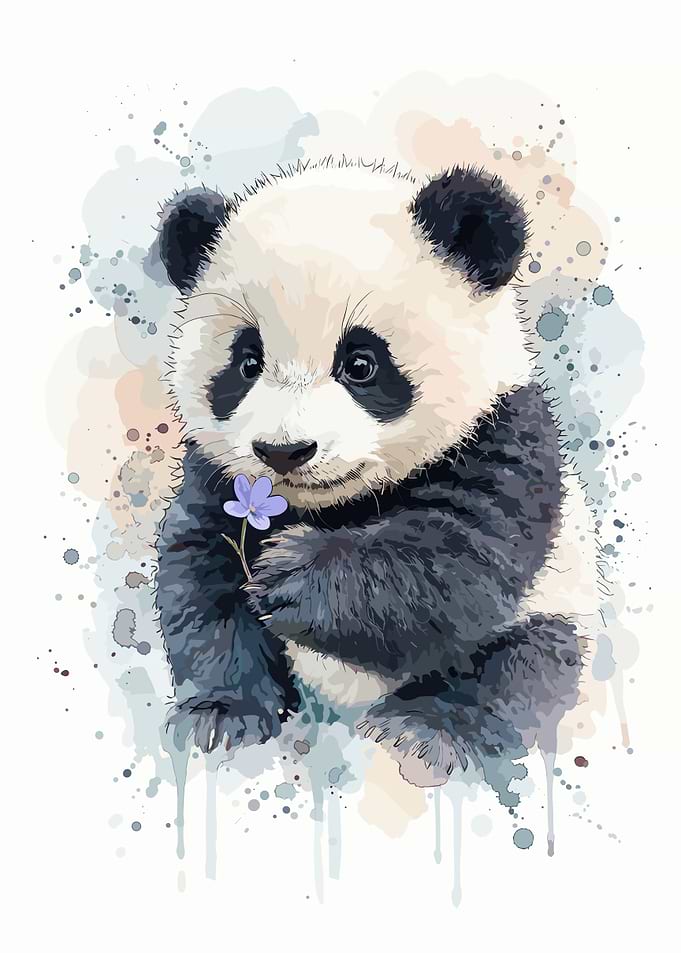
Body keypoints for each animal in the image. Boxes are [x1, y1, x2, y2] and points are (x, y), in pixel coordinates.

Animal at [154, 158, 600, 791]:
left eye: (361, 364)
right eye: (246, 363)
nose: (284, 452)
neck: (331, 504)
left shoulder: (506, 442)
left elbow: (453, 563)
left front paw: (290, 574)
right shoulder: (217, 479)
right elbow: (201, 579)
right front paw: (220, 718)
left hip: (558, 606)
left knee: (516, 672)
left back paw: (419, 733)